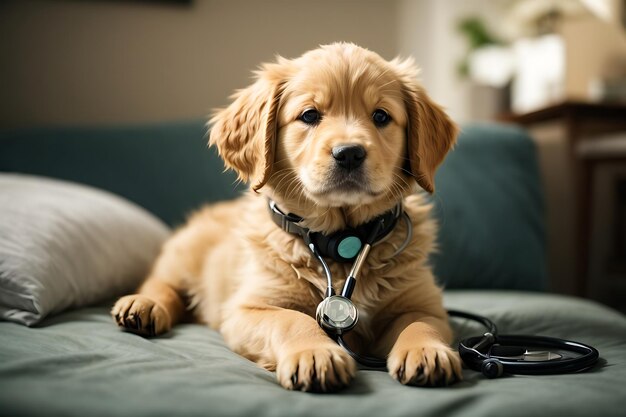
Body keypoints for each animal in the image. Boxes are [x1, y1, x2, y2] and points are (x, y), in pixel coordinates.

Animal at [111, 44, 458, 392]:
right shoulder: (248, 308)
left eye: (381, 116)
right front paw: (316, 353)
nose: (349, 153)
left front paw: (427, 350)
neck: (342, 242)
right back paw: (143, 305)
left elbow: (420, 322)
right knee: (162, 282)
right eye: (309, 115)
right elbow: (293, 319)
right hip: (184, 254)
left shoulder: (423, 304)